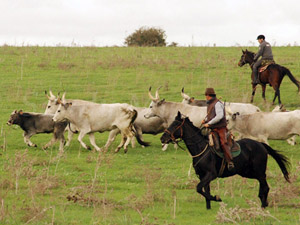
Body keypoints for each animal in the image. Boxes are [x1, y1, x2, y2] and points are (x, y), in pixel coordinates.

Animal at [162, 111, 290, 210]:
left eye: (175, 125)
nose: (162, 138)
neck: (201, 149)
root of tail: (261, 145)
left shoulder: (211, 174)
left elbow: (199, 188)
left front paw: (217, 198)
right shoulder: (203, 175)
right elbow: (205, 191)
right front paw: (208, 207)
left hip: (259, 171)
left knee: (265, 186)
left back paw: (263, 205)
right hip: (247, 172)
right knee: (262, 184)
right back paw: (263, 201)